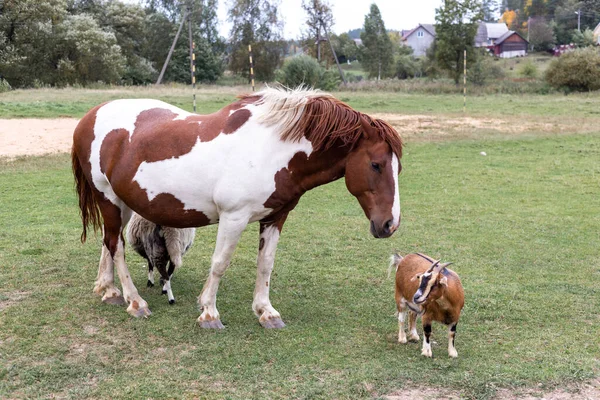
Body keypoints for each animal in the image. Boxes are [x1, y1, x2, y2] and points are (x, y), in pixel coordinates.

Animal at [74, 87, 404, 328]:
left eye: (398, 168)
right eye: (376, 165)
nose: (390, 224)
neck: (271, 149)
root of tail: (89, 118)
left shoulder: (275, 217)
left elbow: (266, 264)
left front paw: (266, 312)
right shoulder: (234, 217)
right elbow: (220, 263)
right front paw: (209, 312)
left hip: (123, 204)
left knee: (108, 241)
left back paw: (109, 290)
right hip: (108, 199)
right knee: (116, 247)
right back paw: (134, 301)